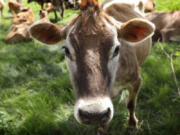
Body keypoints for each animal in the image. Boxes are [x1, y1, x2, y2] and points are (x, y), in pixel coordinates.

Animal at [28, 0, 155, 133]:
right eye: (66, 50)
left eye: (116, 49)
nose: (94, 114)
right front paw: (102, 128)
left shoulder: (136, 81)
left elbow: (131, 104)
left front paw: (132, 124)